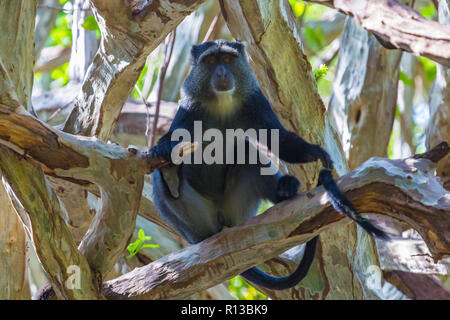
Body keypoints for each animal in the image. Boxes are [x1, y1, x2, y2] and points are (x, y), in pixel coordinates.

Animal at [149, 40, 388, 290]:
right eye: (211, 61)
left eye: (227, 59)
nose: (222, 73)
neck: (221, 103)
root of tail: (221, 222)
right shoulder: (189, 106)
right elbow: (174, 139)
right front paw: (162, 151)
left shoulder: (255, 100)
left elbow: (278, 139)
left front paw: (314, 152)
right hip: (196, 222)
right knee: (160, 178)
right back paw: (171, 179)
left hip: (238, 207)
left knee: (247, 153)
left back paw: (284, 191)